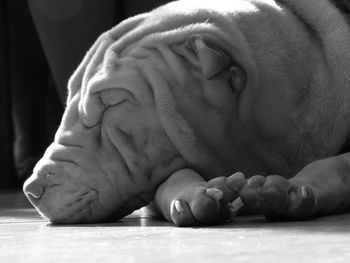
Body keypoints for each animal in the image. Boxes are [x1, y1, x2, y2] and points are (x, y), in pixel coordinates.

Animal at [23, 0, 350, 227]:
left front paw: (295, 189)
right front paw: (193, 194)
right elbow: (172, 178)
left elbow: (334, 165)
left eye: (113, 102)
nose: (31, 189)